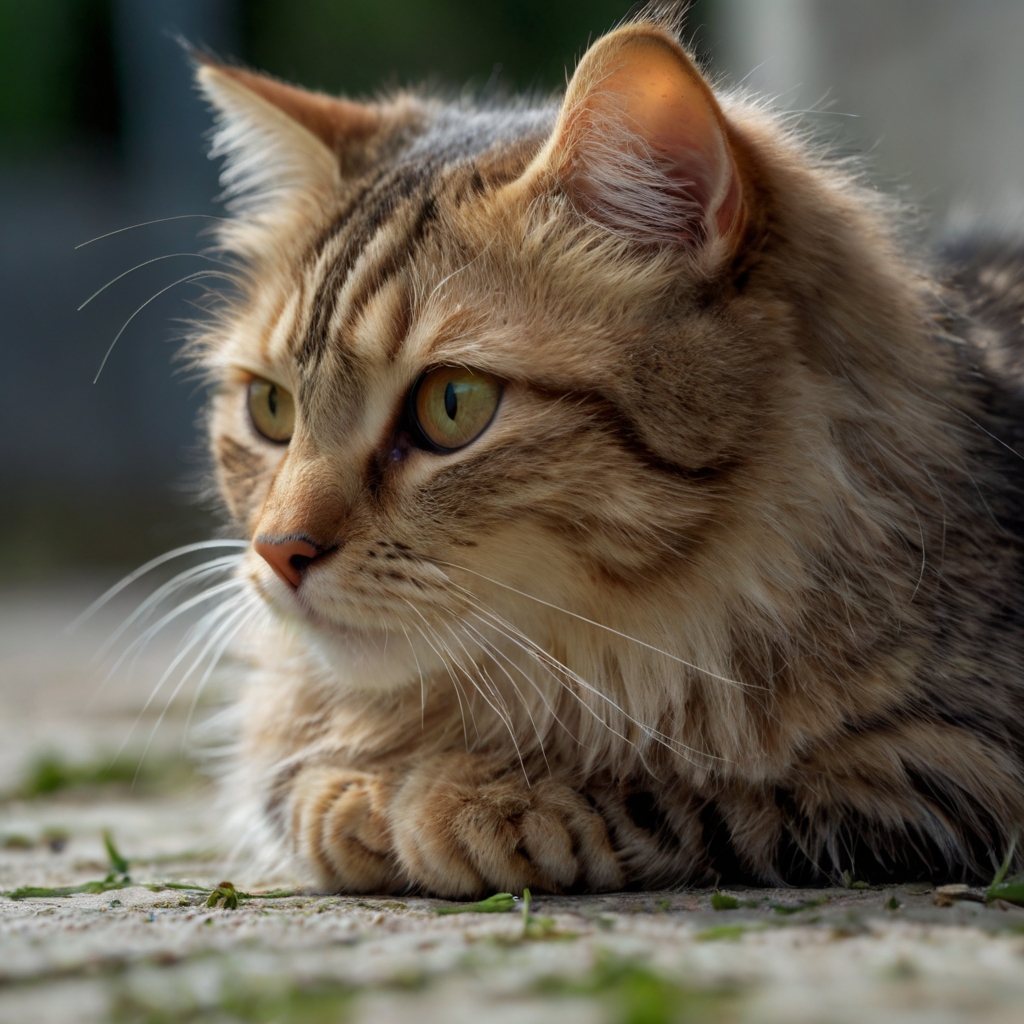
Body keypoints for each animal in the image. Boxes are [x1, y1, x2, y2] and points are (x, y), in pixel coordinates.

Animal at [186, 9, 1024, 897]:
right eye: (271, 408)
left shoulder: (948, 763)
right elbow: (293, 783)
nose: (278, 551)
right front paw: (357, 791)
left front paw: (464, 795)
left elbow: (701, 786)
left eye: (452, 405)